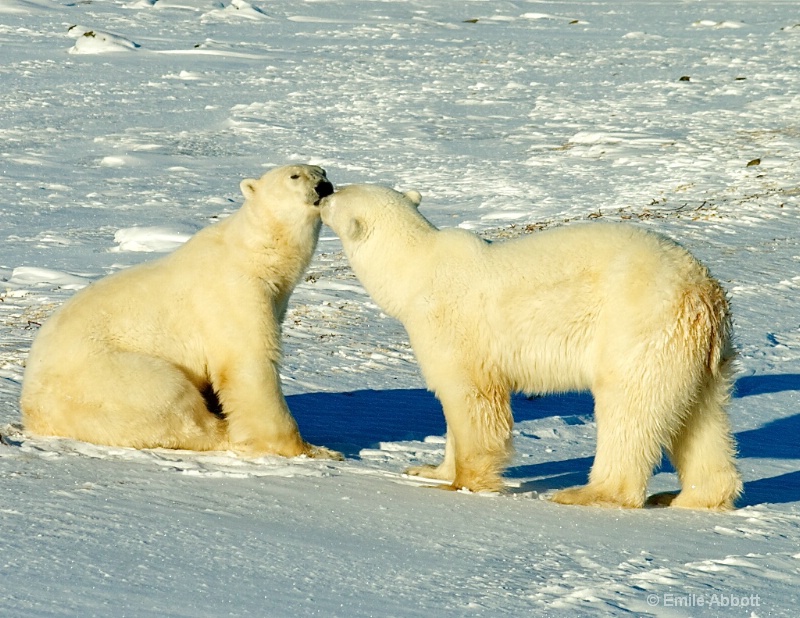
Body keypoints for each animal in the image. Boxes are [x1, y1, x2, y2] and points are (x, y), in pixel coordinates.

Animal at [21, 161, 340, 460]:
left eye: (323, 171)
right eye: (294, 176)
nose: (324, 186)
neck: (256, 252)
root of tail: (31, 410)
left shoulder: (275, 298)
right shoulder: (232, 292)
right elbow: (250, 362)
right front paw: (310, 449)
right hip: (104, 379)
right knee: (171, 396)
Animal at [320, 184, 744, 510]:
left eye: (337, 195)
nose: (322, 189)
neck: (416, 267)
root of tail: (704, 294)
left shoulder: (450, 325)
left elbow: (470, 397)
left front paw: (462, 483)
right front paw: (426, 469)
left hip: (638, 330)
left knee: (629, 408)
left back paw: (586, 492)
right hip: (702, 356)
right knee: (702, 416)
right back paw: (690, 497)